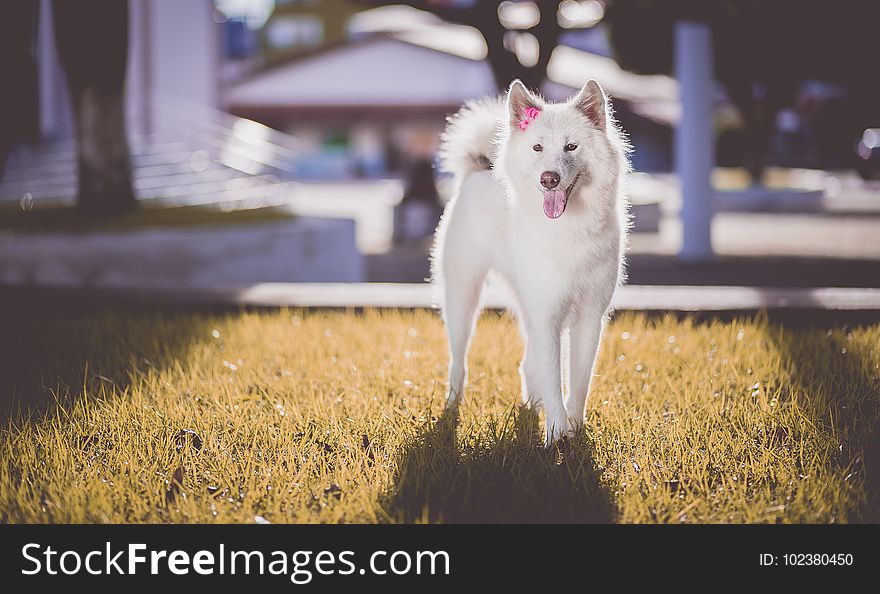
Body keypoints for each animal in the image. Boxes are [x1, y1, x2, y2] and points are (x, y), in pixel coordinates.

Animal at [432, 77, 624, 444]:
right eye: (537, 148)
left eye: (571, 147)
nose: (548, 179)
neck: (569, 229)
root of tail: (480, 169)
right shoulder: (546, 314)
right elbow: (553, 379)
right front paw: (556, 436)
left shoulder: (589, 317)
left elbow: (579, 382)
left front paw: (573, 431)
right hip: (462, 298)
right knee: (458, 361)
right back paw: (451, 407)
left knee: (527, 364)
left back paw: (532, 405)